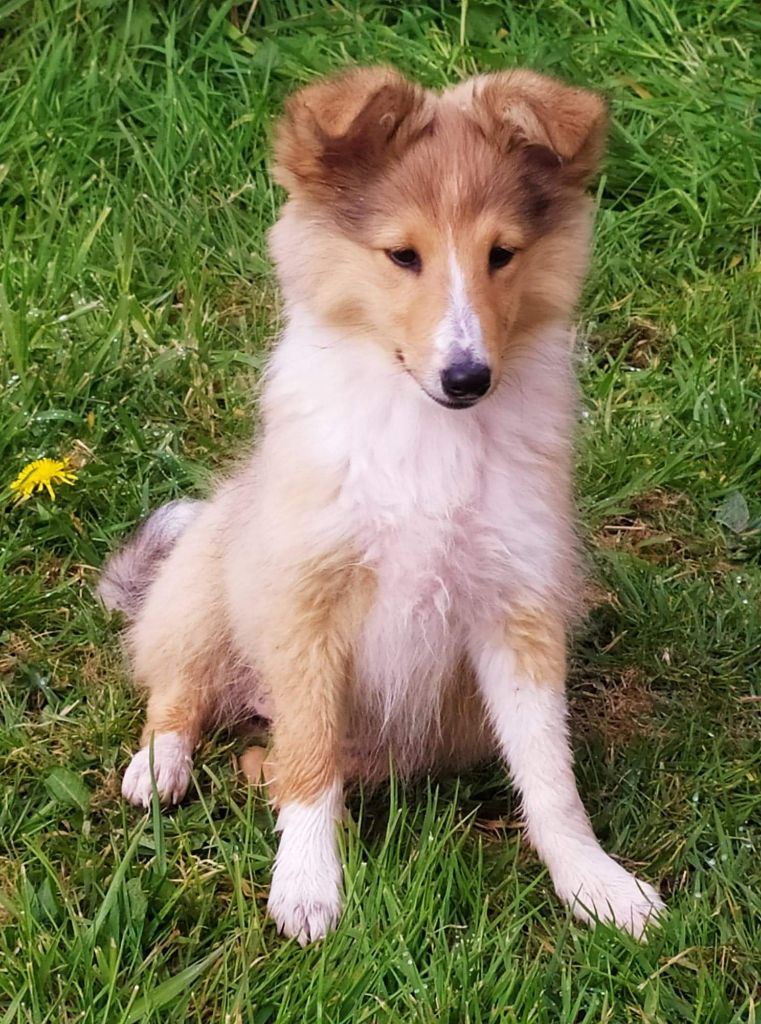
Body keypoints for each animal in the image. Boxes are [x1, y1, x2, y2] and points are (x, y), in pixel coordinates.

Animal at [102, 64, 667, 942]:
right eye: (402, 255)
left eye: (501, 255)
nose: (467, 377)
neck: (426, 432)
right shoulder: (307, 598)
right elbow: (309, 758)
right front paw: (306, 888)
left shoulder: (517, 606)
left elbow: (550, 776)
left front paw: (595, 886)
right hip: (201, 581)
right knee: (178, 687)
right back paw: (160, 767)